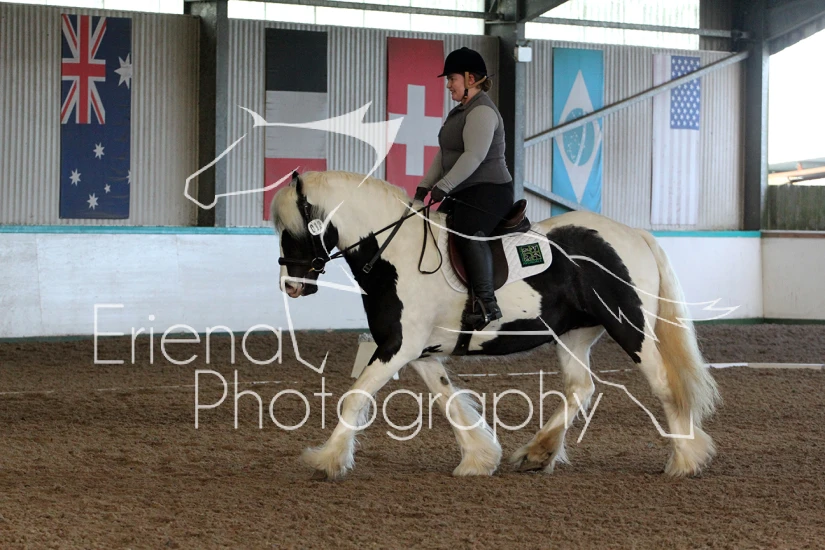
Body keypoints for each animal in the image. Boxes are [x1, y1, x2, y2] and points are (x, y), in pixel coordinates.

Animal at [271, 170, 720, 480]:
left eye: (295, 229)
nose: (292, 286)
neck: (393, 253)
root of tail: (634, 233)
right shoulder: (419, 351)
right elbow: (448, 401)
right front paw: (479, 458)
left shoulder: (398, 346)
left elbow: (354, 397)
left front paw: (326, 460)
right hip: (573, 334)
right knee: (580, 388)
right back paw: (537, 453)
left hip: (630, 326)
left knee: (663, 383)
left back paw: (685, 460)